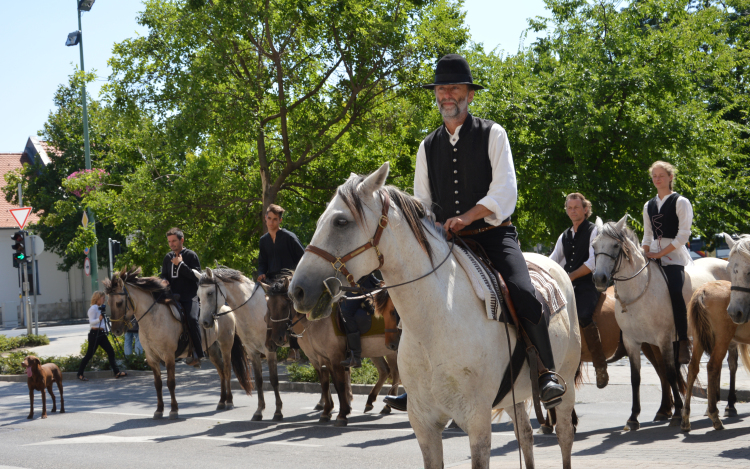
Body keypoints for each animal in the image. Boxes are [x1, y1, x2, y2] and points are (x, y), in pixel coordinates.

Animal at [106, 266, 254, 418]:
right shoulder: (152, 358)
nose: (116, 331)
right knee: (221, 372)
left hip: (225, 345)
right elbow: (158, 384)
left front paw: (173, 410)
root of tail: (226, 308)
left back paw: (229, 401)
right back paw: (221, 401)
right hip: (212, 350)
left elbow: (171, 383)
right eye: (108, 303)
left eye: (119, 303)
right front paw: (159, 410)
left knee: (227, 370)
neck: (153, 317)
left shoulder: (169, 356)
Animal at [288, 164, 580, 468]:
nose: (297, 290)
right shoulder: (424, 424)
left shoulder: (477, 421)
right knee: (525, 435)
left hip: (566, 384)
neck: (433, 326)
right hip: (516, 396)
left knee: (564, 435)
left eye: (341, 222)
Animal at [592, 215, 728, 428]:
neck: (638, 291)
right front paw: (633, 417)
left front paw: (678, 412)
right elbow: (636, 378)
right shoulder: (632, 342)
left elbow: (670, 373)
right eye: (594, 245)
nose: (599, 278)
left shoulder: (663, 339)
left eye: (615, 245)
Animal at [680, 280, 750, 430]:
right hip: (722, 338)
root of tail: (703, 291)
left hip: (698, 338)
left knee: (693, 368)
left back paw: (685, 418)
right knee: (712, 366)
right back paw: (714, 416)